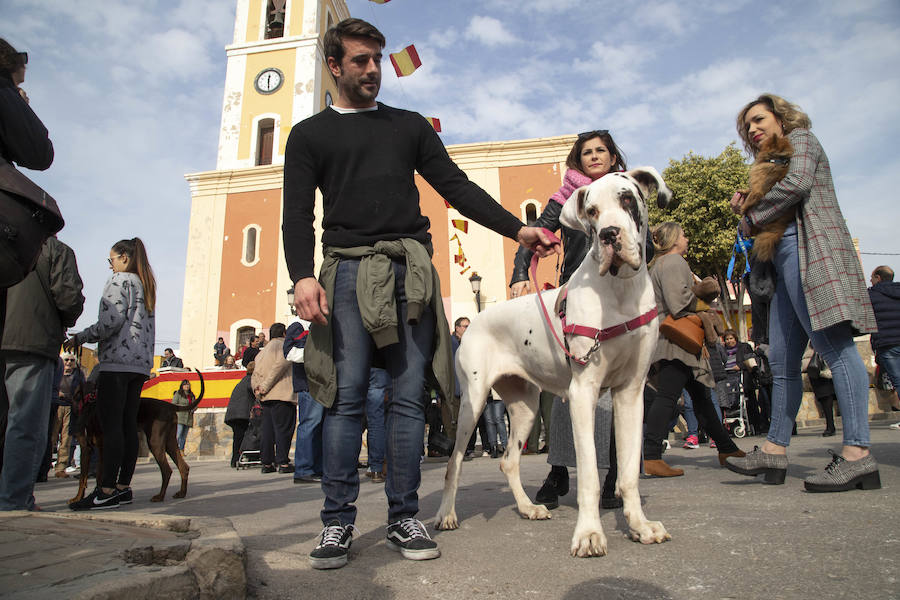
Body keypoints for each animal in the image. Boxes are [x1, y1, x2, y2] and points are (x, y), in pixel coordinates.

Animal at [69, 372, 205, 504]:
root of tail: (169, 405)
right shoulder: (91, 449)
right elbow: (89, 477)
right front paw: (83, 497)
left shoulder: (96, 448)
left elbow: (91, 476)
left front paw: (90, 496)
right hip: (169, 441)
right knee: (184, 467)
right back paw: (181, 493)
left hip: (155, 441)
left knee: (167, 470)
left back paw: (160, 496)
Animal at [436, 166, 676, 556]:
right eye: (591, 211)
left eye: (627, 198)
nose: (609, 234)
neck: (619, 292)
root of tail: (475, 320)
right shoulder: (582, 393)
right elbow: (590, 474)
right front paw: (589, 534)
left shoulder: (630, 394)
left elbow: (627, 473)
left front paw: (640, 526)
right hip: (473, 403)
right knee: (454, 462)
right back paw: (446, 514)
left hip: (525, 407)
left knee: (509, 461)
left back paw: (527, 507)